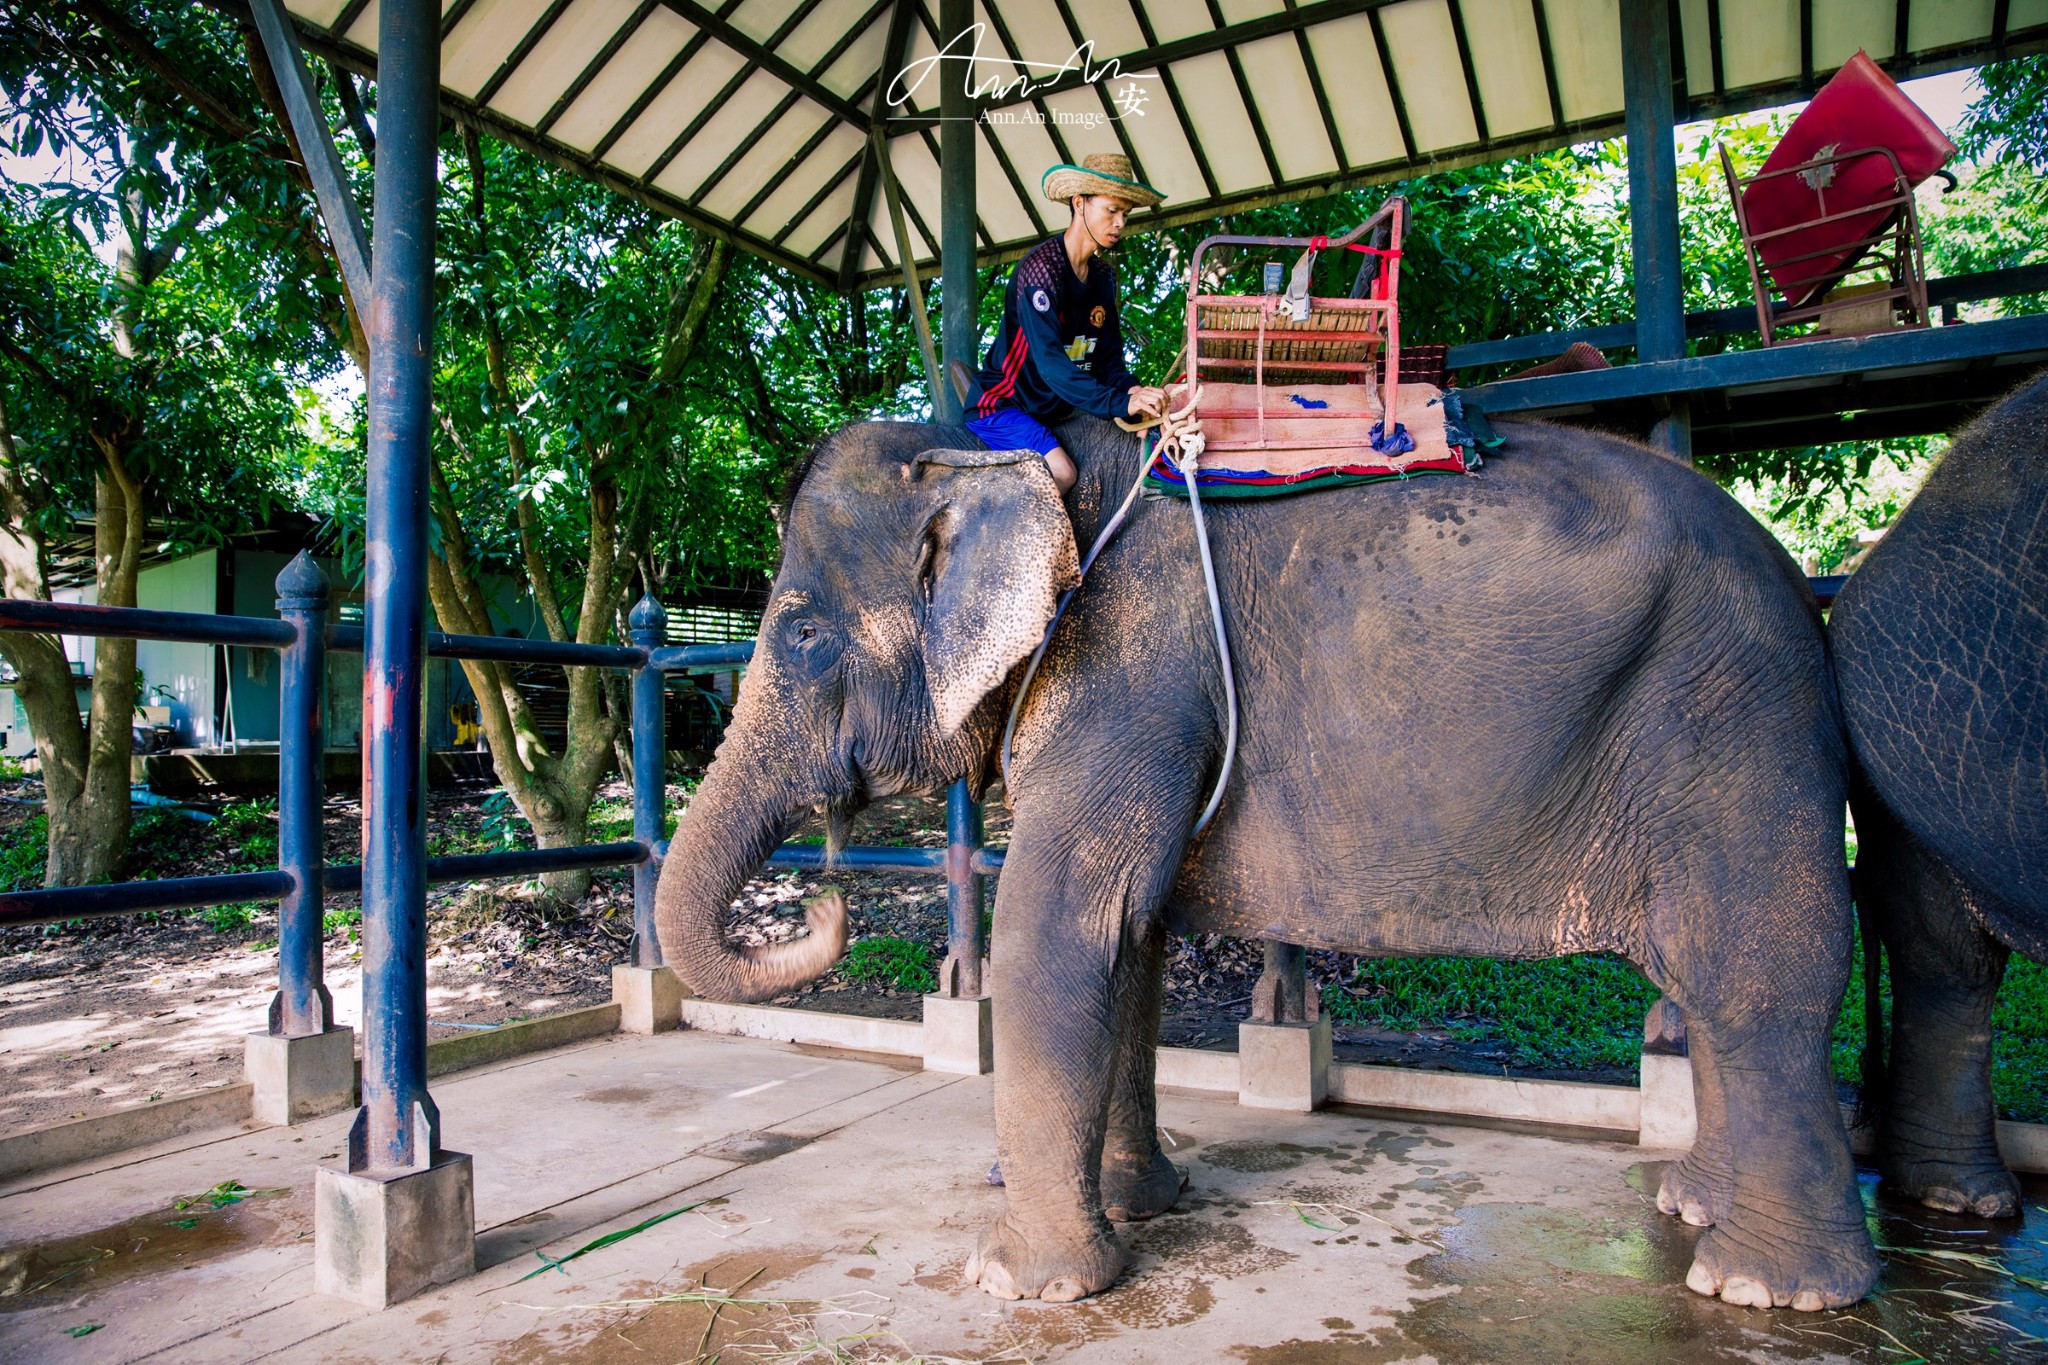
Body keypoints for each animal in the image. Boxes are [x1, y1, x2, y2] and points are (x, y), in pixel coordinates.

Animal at [651, 413, 1875, 1309]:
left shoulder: (1133, 676)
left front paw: (1020, 1286)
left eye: (801, 634)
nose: (820, 899)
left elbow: (1059, 927)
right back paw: (1690, 1208)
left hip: (1735, 723)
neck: (1008, 458)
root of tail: (1798, 580)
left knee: (1758, 975)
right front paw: (1146, 1205)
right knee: (1706, 976)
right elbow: (1130, 940)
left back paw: (1766, 1288)